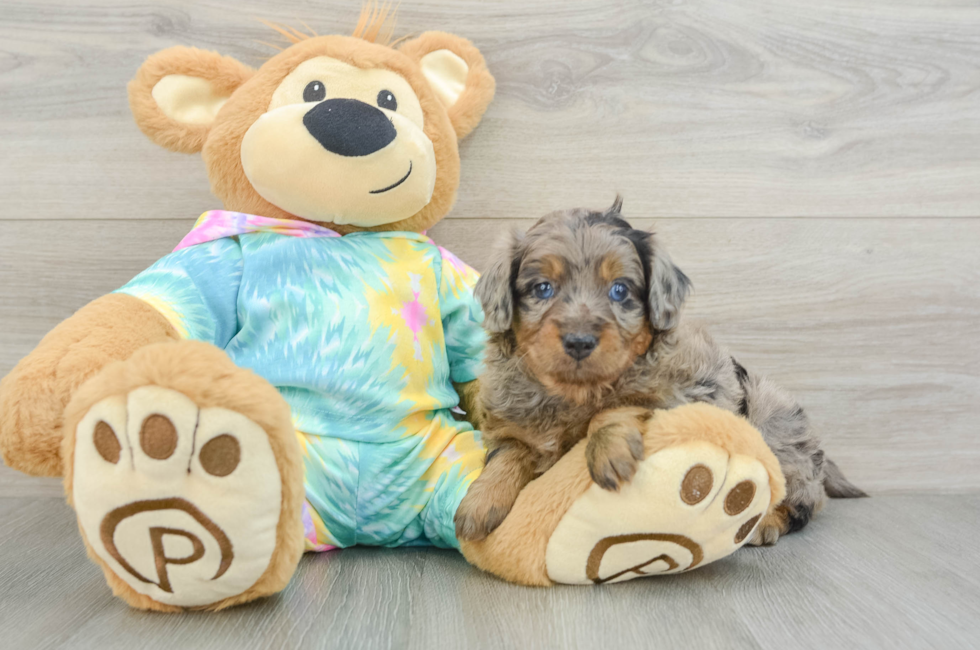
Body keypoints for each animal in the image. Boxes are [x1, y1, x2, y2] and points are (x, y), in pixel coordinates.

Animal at [454, 196, 864, 540]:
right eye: (542, 288)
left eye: (620, 290)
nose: (579, 341)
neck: (573, 393)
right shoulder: (510, 425)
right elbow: (509, 454)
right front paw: (480, 501)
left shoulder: (681, 394)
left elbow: (619, 404)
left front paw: (608, 449)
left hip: (776, 426)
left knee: (804, 501)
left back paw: (767, 523)